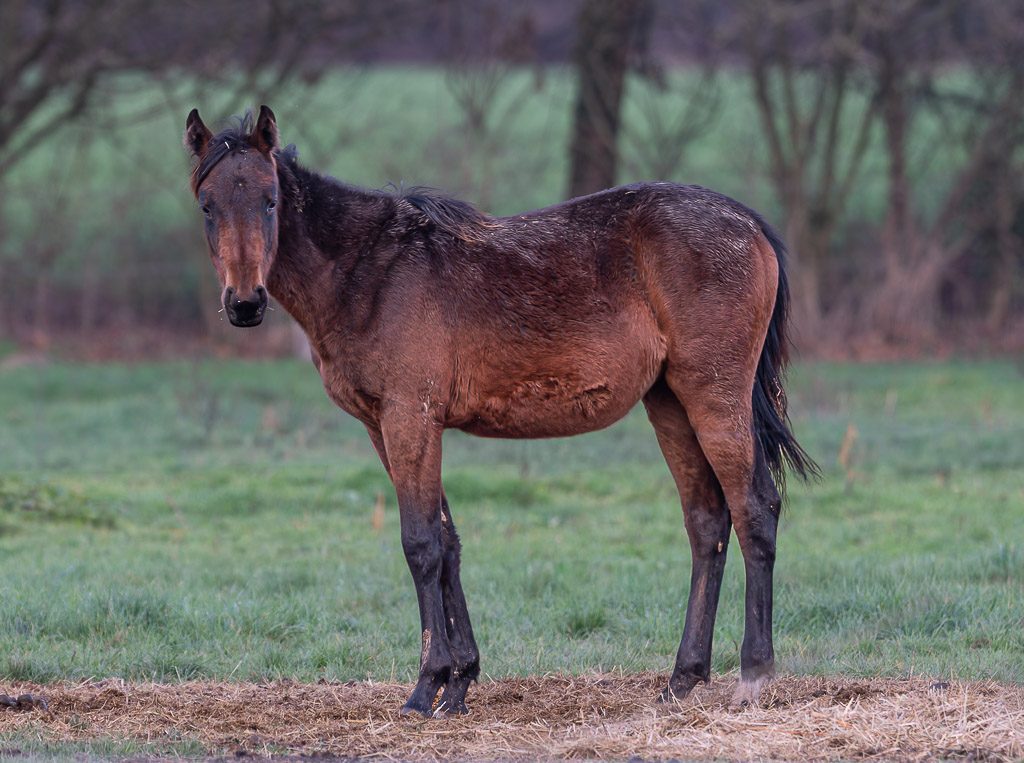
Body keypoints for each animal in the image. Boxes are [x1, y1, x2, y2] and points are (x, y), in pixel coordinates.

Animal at [183, 106, 816, 718]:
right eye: (208, 206)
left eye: (270, 200)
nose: (245, 303)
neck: (371, 271)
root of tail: (748, 223)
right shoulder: (384, 428)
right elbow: (448, 543)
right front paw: (460, 682)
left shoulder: (411, 418)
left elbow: (421, 545)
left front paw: (426, 686)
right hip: (670, 404)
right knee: (706, 522)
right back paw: (681, 680)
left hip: (715, 398)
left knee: (754, 509)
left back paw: (753, 676)